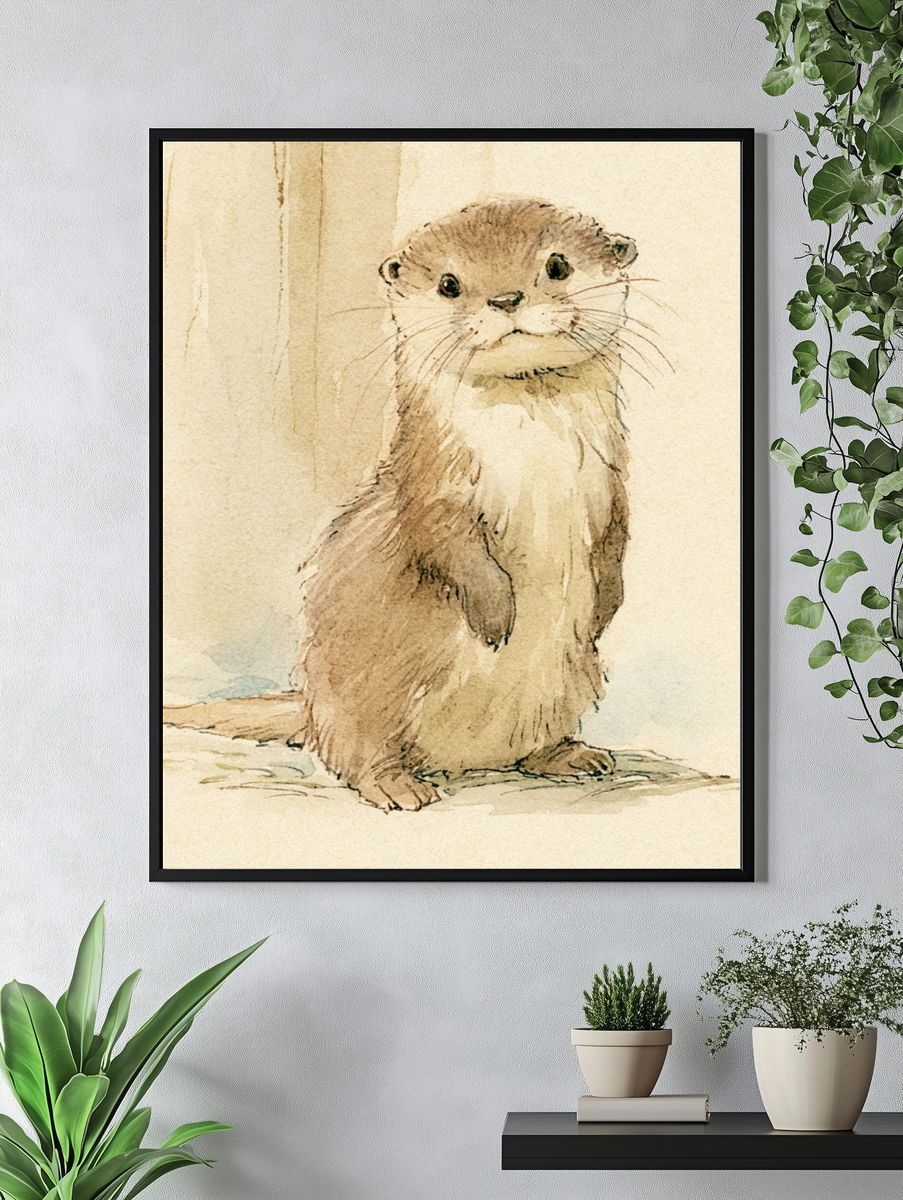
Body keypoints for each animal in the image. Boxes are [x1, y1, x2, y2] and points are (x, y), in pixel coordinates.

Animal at [295, 197, 638, 811]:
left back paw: (573, 756)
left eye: (557, 264)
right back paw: (398, 785)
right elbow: (443, 538)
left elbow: (615, 537)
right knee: (356, 750)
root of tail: (463, 759)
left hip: (573, 681)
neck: (532, 450)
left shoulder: (611, 479)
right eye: (449, 284)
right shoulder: (432, 480)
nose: (505, 299)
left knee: (535, 742)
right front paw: (495, 614)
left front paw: (605, 605)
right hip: (362, 690)